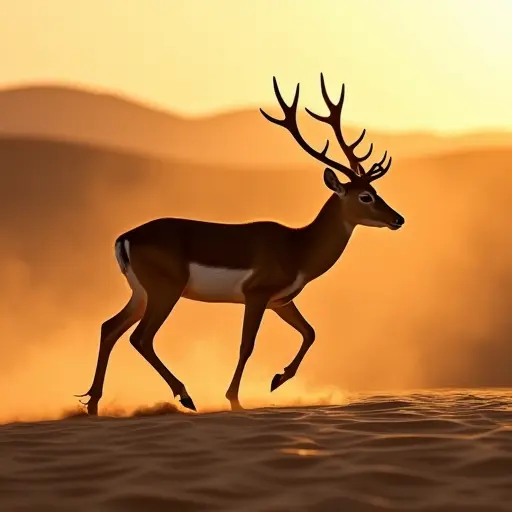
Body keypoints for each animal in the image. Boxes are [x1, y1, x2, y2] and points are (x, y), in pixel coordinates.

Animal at [77, 74, 404, 414]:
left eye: (376, 191)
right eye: (365, 196)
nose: (398, 219)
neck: (297, 247)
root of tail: (124, 238)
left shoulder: (280, 301)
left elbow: (310, 332)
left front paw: (277, 380)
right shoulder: (256, 295)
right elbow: (247, 345)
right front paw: (234, 399)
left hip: (140, 292)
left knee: (109, 328)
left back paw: (93, 404)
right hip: (165, 291)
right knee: (140, 337)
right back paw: (185, 396)